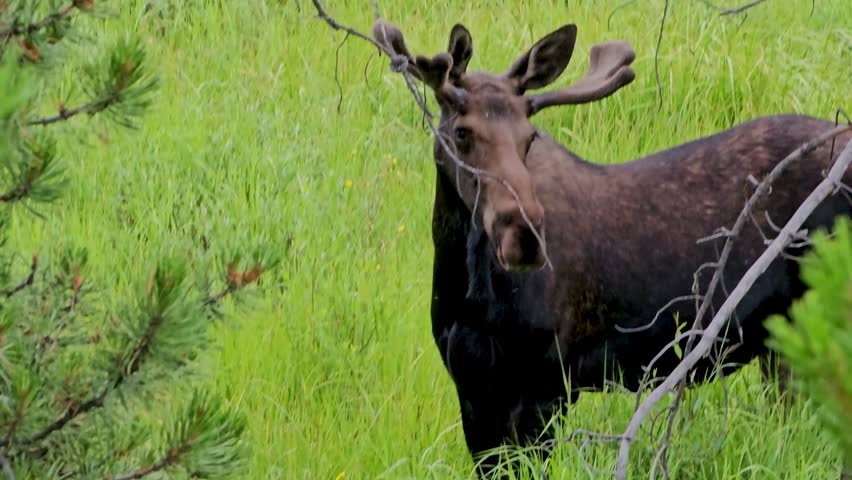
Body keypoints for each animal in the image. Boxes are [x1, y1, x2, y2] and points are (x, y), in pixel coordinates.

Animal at [367, 16, 852, 480]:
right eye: (462, 133)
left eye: (529, 137)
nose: (524, 237)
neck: (468, 290)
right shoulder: (473, 389)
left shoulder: (547, 386)